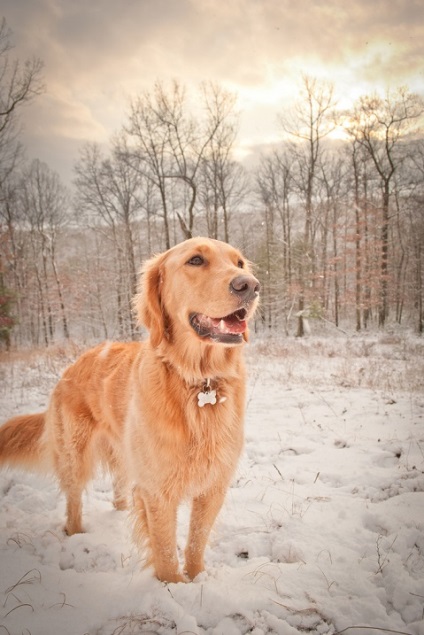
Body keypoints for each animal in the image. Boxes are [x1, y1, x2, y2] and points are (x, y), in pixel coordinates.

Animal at [0, 237, 258, 580]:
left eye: (239, 263)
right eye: (195, 260)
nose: (251, 286)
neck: (199, 383)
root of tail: (73, 365)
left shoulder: (213, 486)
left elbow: (195, 542)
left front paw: (196, 577)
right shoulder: (158, 489)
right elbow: (165, 549)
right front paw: (172, 584)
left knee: (121, 488)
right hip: (74, 455)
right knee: (73, 502)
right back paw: (76, 533)